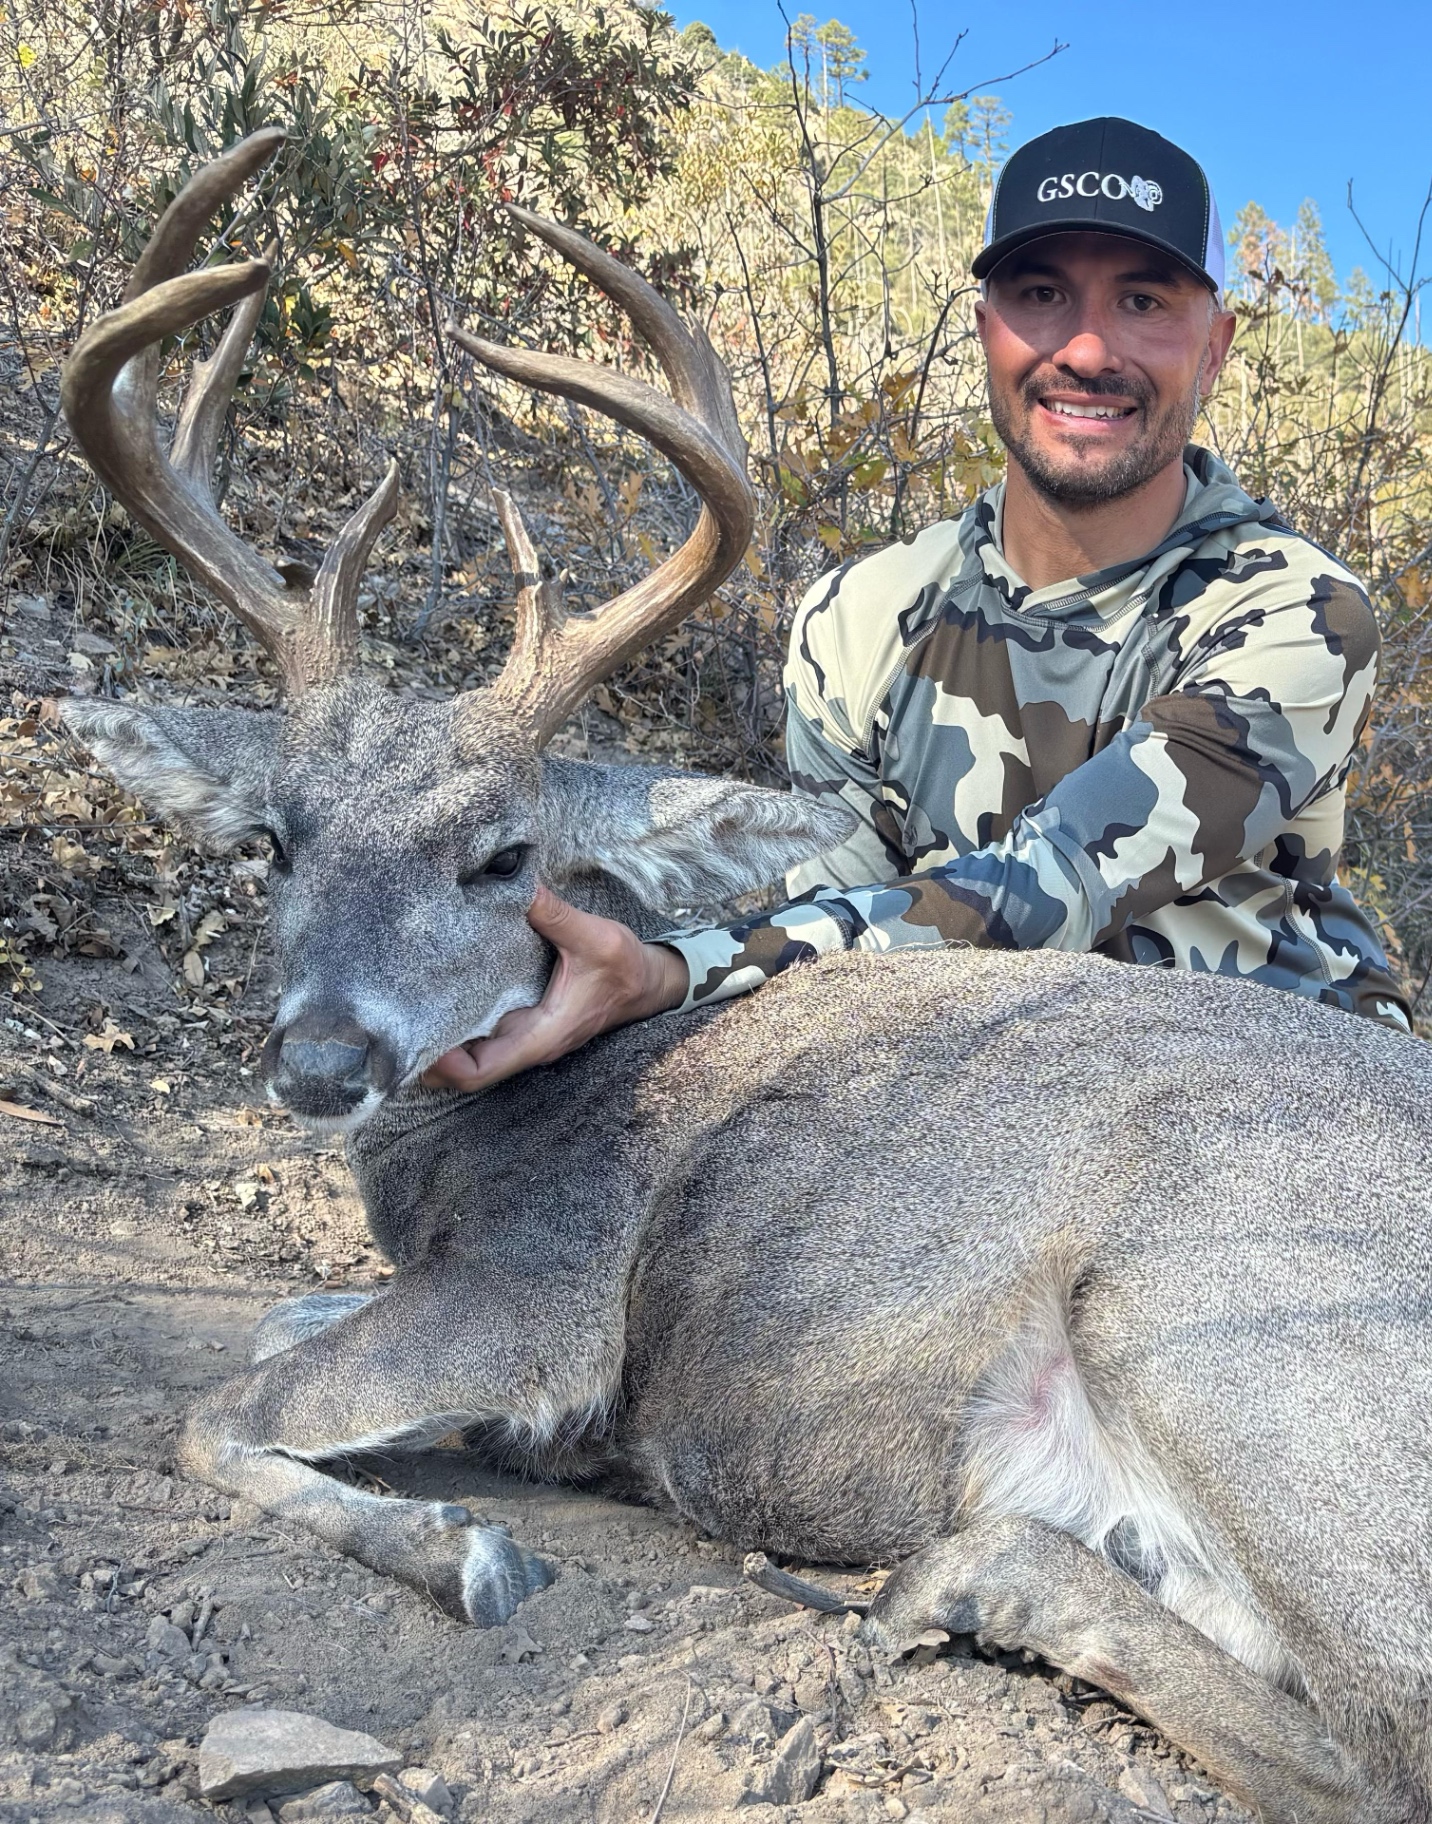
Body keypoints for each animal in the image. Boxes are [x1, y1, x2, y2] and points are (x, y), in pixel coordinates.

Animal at [55, 130, 1432, 1824]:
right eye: (270, 840)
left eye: (502, 855)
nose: (318, 1063)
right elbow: (262, 1336)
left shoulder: (541, 1293)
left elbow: (216, 1415)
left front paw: (465, 1551)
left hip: (1233, 1327)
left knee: (1383, 1749)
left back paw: (955, 1576)